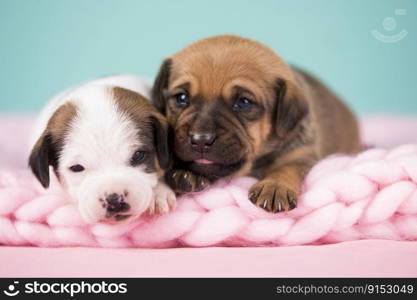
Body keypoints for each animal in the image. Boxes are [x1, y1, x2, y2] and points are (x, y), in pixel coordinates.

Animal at [151, 35, 360, 212]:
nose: (200, 140)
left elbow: (287, 167)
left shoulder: (302, 153)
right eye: (182, 98)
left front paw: (275, 186)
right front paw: (186, 173)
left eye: (243, 102)